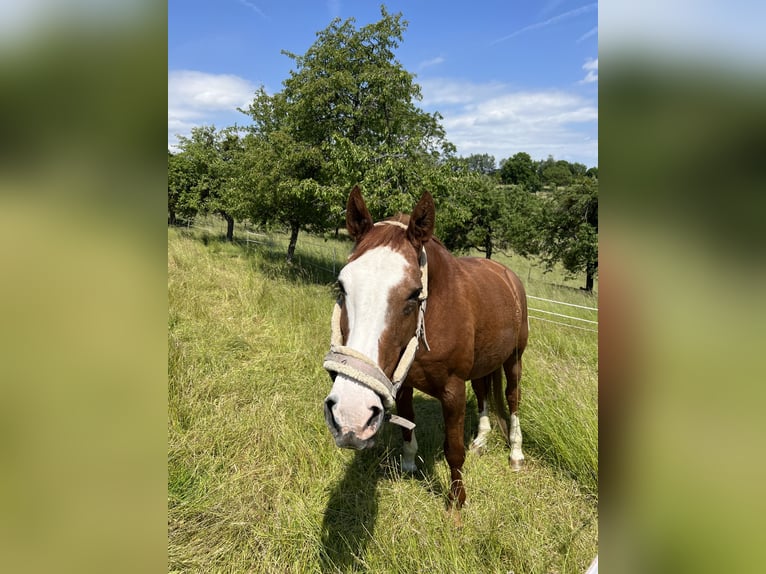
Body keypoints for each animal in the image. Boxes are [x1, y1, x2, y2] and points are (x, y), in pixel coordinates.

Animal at [322, 187, 528, 506]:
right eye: (341, 286)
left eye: (414, 293)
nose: (350, 417)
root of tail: (507, 274)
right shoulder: (401, 383)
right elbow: (407, 425)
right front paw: (408, 466)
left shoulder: (453, 391)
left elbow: (454, 449)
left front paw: (457, 500)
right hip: (483, 363)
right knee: (483, 392)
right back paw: (481, 439)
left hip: (514, 359)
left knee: (512, 398)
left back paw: (516, 454)